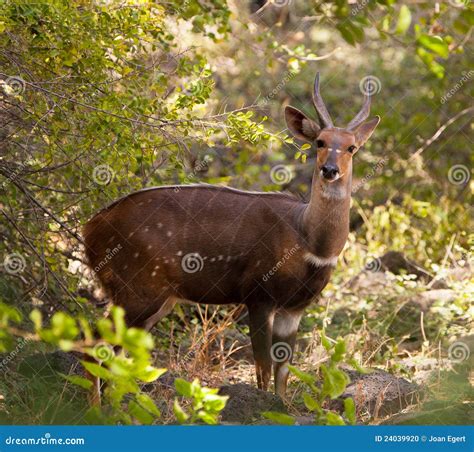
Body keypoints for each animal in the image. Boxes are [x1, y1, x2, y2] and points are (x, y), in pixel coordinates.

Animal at [84, 73, 382, 400]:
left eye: (352, 147)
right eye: (320, 142)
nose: (329, 170)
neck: (309, 242)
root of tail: (90, 229)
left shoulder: (295, 308)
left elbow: (283, 373)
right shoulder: (259, 295)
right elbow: (263, 367)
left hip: (156, 300)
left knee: (113, 354)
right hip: (137, 290)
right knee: (94, 345)